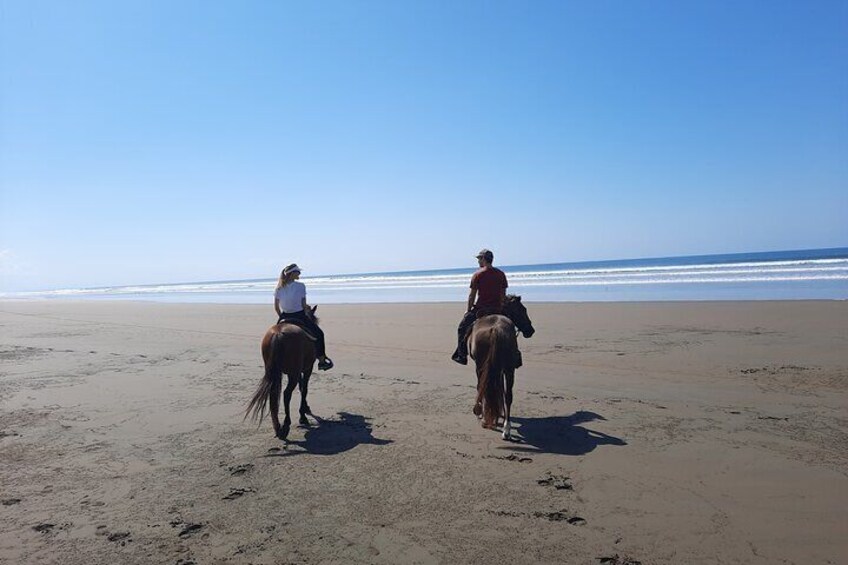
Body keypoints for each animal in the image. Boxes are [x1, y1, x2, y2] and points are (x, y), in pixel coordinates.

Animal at [250, 306, 322, 438]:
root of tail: (278, 334)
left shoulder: (296, 371)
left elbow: (301, 387)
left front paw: (305, 409)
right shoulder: (307, 369)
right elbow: (304, 388)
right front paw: (303, 415)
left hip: (274, 371)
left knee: (274, 393)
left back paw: (277, 427)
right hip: (293, 373)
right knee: (286, 394)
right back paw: (286, 424)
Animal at [468, 296, 532, 440]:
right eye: (522, 309)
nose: (531, 330)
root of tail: (496, 329)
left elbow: (482, 387)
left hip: (485, 366)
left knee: (485, 387)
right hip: (508, 368)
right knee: (508, 395)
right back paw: (506, 429)